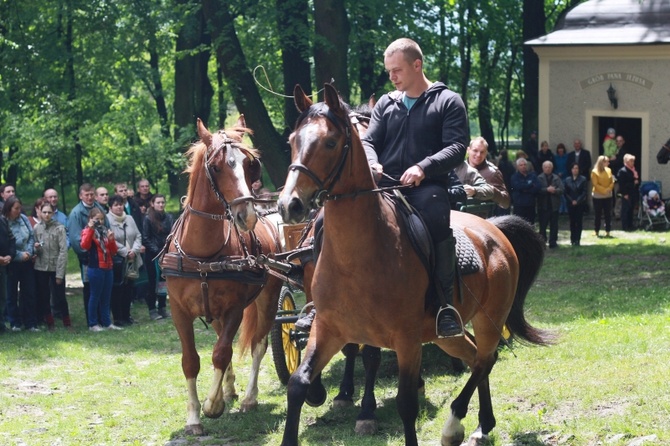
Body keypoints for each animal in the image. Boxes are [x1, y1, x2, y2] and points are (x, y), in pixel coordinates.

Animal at [163, 117, 284, 436]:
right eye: (216, 167)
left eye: (249, 165)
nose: (246, 215)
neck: (203, 255)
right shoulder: (179, 311)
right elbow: (191, 361)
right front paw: (194, 418)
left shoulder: (234, 310)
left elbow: (221, 353)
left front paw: (211, 405)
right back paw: (228, 389)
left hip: (269, 298)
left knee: (258, 344)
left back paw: (249, 398)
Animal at [276, 84, 552, 446]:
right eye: (293, 140)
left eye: (331, 142)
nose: (288, 205)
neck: (357, 257)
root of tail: (493, 229)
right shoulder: (329, 329)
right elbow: (298, 384)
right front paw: (325, 395)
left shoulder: (406, 340)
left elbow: (406, 402)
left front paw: (367, 412)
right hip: (446, 335)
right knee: (476, 357)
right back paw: (483, 424)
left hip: (488, 320)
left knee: (484, 359)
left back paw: (455, 424)